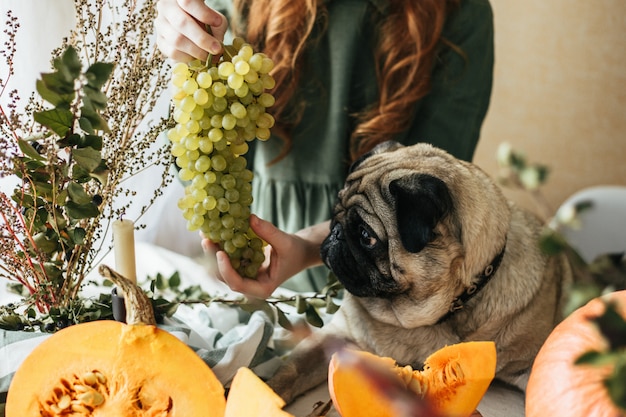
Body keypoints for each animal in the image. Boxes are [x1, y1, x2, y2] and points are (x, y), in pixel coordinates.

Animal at [266, 141, 572, 404]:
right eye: (334, 212)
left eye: (366, 236)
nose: (335, 232)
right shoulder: (337, 337)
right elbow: (291, 369)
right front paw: (264, 394)